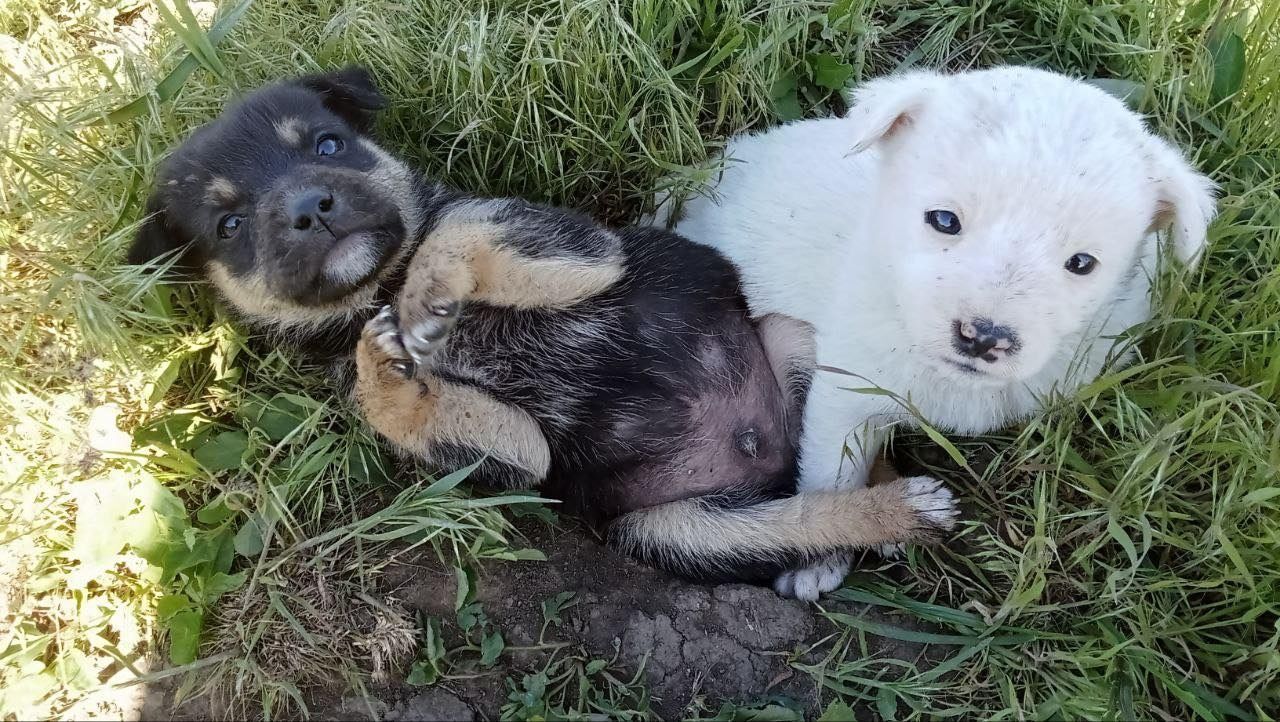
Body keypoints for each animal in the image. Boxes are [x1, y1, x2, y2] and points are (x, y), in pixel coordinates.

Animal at [129, 67, 957, 583]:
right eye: (230, 225)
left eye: (327, 145)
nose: (307, 207)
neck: (376, 285)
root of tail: (771, 461)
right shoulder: (517, 458)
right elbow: (415, 406)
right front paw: (385, 369)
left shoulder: (580, 248)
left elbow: (455, 230)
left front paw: (428, 290)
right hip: (674, 531)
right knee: (804, 514)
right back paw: (887, 516)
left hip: (790, 340)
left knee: (848, 437)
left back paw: (892, 495)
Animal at [675, 66, 1213, 599]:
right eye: (944, 220)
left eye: (1082, 263)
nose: (984, 337)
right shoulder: (845, 389)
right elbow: (834, 470)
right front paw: (823, 553)